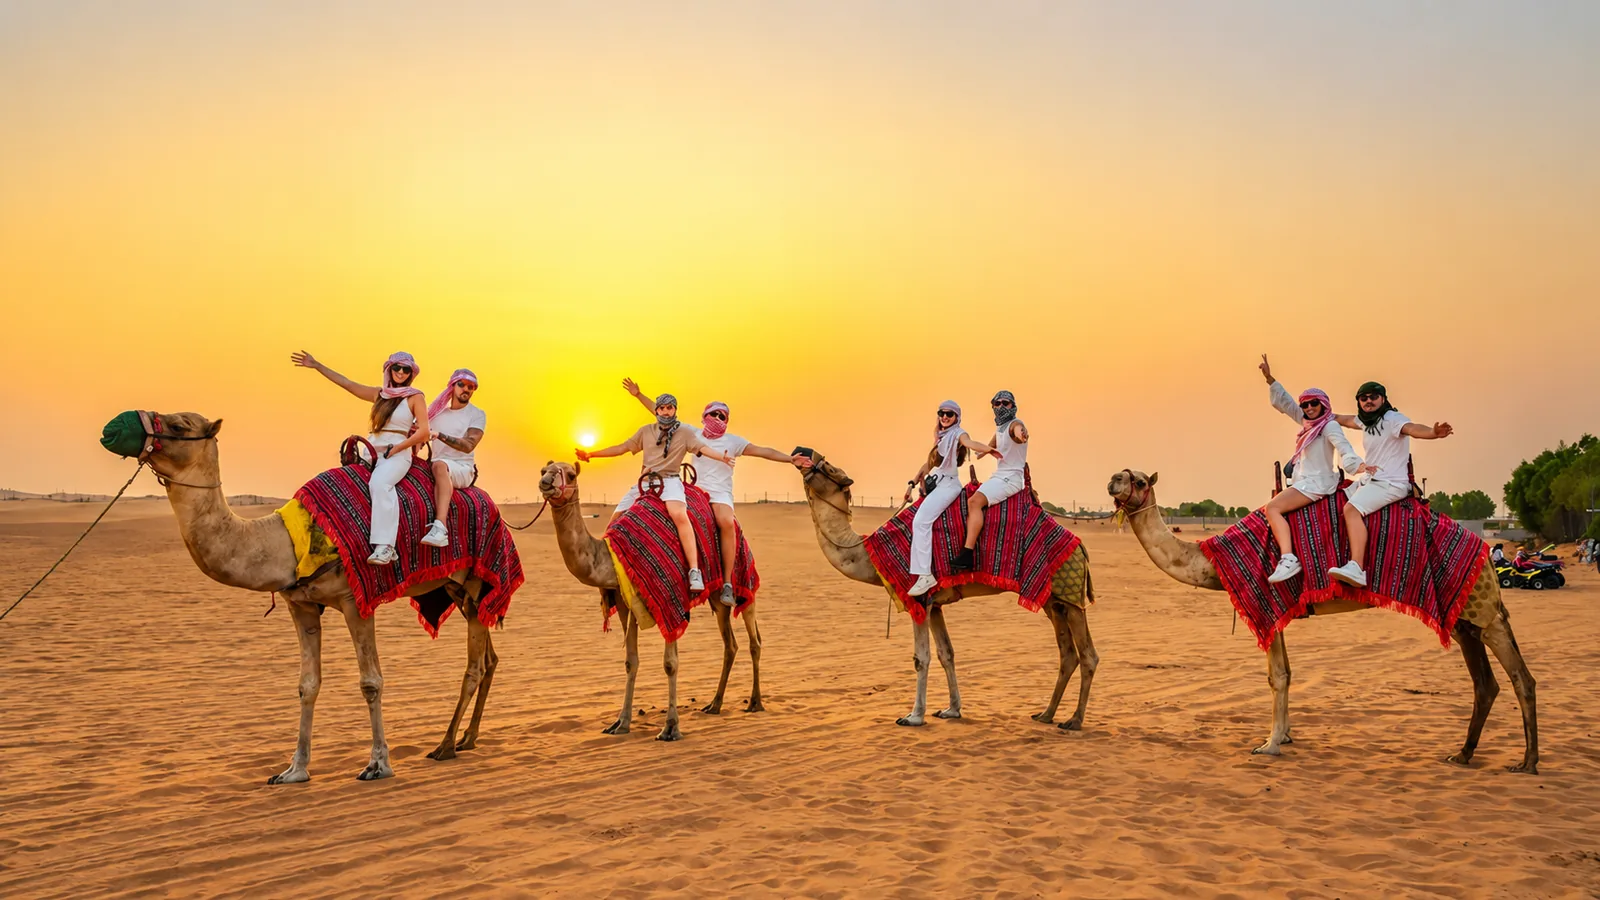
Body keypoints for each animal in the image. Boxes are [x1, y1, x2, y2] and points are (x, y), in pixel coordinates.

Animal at [103, 410, 505, 783]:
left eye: (178, 426)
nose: (112, 428)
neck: (283, 542)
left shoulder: (355, 601)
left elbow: (371, 681)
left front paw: (377, 764)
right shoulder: (301, 605)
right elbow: (307, 685)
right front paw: (293, 770)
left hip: (475, 582)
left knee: (473, 665)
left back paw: (446, 745)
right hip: (454, 588)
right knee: (489, 658)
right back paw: (468, 738)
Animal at [537, 460, 763, 740]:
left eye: (569, 475)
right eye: (543, 470)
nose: (546, 482)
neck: (611, 556)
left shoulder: (672, 600)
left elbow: (670, 663)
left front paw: (670, 728)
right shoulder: (626, 602)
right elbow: (630, 661)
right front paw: (620, 723)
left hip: (742, 578)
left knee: (754, 640)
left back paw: (755, 702)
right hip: (717, 597)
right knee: (730, 644)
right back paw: (714, 704)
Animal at [793, 451, 1099, 729]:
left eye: (829, 467)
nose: (803, 454)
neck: (870, 554)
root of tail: (1080, 546)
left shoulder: (919, 598)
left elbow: (921, 658)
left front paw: (913, 716)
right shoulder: (936, 605)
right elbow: (946, 653)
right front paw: (951, 710)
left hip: (1070, 596)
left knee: (1088, 655)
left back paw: (1074, 720)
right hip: (1053, 601)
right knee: (1067, 654)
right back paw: (1046, 714)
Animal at [1107, 468, 1538, 773]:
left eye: (1139, 480)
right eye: (1123, 473)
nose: (1113, 481)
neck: (1212, 561)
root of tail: (1485, 552)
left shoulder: (1267, 598)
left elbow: (1277, 676)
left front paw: (1269, 745)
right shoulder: (1281, 611)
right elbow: (1285, 673)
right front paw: (1286, 736)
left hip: (1481, 607)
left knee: (1517, 677)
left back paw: (1525, 763)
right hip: (1465, 618)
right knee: (1490, 683)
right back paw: (1466, 755)